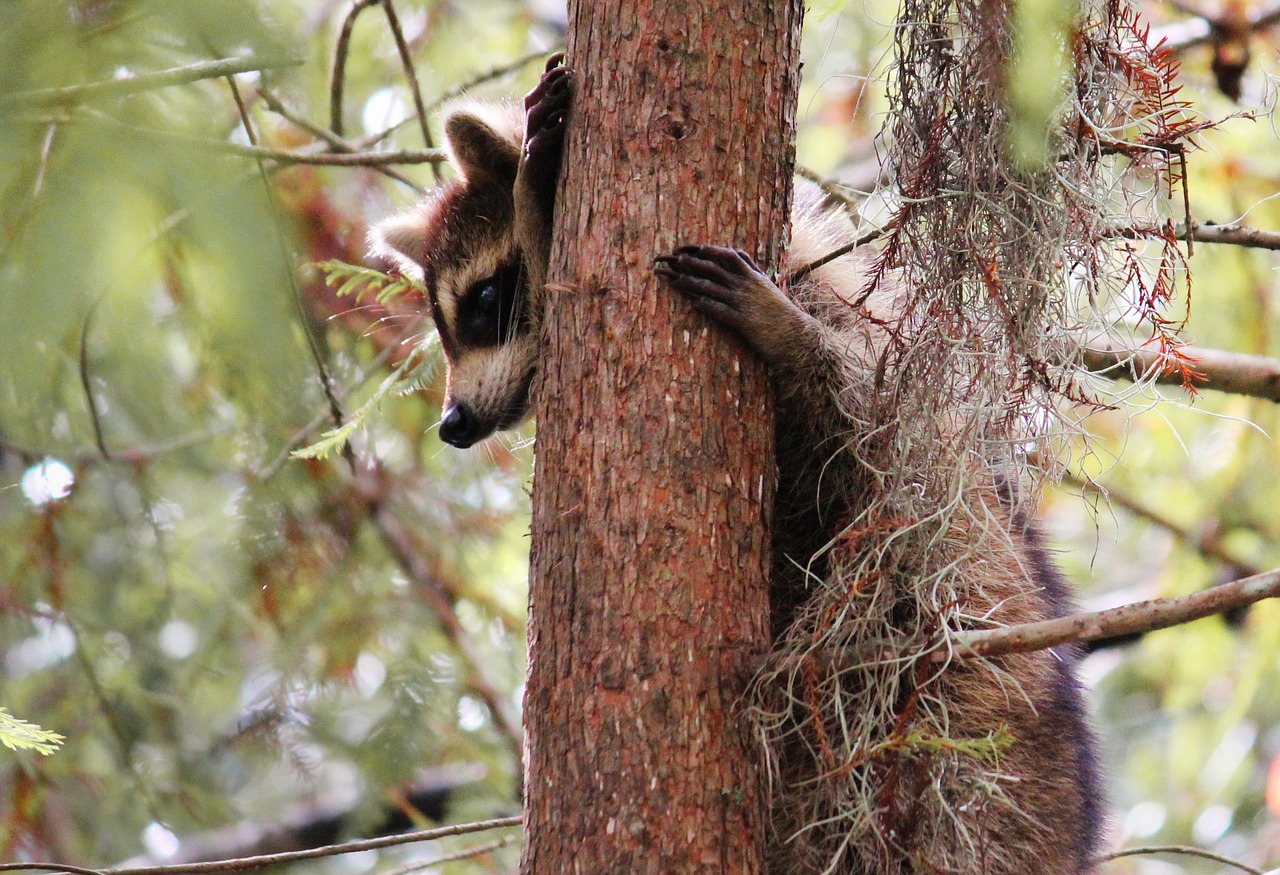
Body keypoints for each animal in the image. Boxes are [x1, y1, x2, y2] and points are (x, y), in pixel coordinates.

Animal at [371, 58, 1100, 869]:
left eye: (486, 298)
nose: (452, 425)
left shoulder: (861, 349)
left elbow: (861, 413)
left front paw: (536, 194)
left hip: (970, 709)